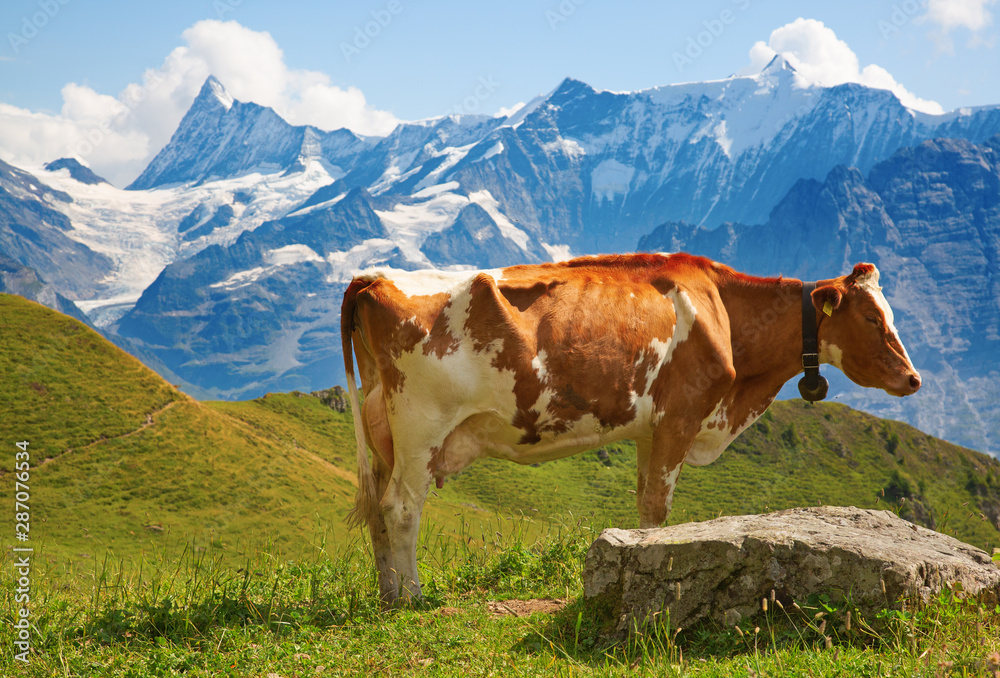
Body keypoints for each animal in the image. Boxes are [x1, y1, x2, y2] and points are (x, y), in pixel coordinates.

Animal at [340, 253, 921, 606]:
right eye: (873, 319)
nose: (913, 378)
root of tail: (373, 277)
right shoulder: (680, 419)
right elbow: (659, 511)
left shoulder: (649, 431)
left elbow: (645, 509)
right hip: (422, 424)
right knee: (401, 508)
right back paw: (411, 597)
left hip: (384, 430)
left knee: (378, 512)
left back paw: (387, 594)